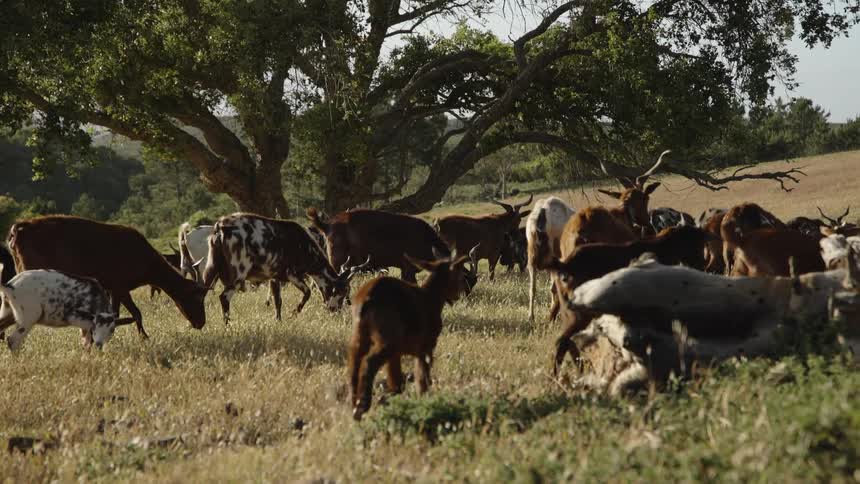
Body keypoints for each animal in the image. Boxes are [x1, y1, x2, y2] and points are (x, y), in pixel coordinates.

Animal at [0, 264, 133, 351]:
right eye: (96, 326)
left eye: (112, 330)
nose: (99, 344)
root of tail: (10, 286)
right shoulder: (77, 318)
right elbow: (88, 342)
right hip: (29, 317)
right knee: (13, 341)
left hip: (8, 312)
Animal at [8, 216, 207, 339]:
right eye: (197, 297)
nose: (201, 323)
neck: (146, 268)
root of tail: (15, 231)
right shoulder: (119, 283)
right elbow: (132, 312)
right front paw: (143, 337)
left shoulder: (113, 287)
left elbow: (122, 312)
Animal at [202, 213, 371, 323]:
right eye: (341, 293)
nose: (335, 312)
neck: (303, 245)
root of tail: (221, 227)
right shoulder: (292, 274)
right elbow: (307, 293)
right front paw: (293, 314)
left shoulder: (274, 277)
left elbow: (278, 301)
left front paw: (279, 320)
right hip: (239, 274)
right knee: (224, 297)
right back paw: (228, 325)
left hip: (211, 269)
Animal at [347, 247, 476, 420]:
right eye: (459, 275)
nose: (458, 295)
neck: (429, 297)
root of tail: (367, 299)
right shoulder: (425, 349)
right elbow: (422, 381)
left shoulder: (397, 354)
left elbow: (397, 384)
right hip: (387, 342)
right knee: (368, 362)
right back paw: (362, 406)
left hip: (360, 337)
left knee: (354, 365)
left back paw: (354, 404)